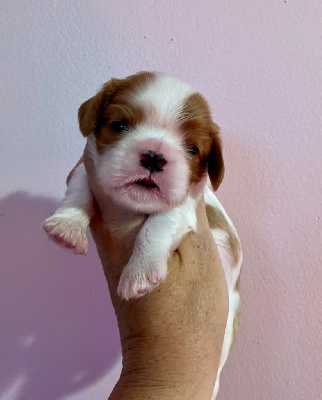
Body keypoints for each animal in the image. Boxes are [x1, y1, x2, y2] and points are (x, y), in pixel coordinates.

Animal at [42, 72, 242, 400]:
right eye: (120, 126)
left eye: (192, 149)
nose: (154, 156)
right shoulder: (89, 167)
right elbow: (81, 188)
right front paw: (67, 225)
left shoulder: (186, 204)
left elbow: (158, 224)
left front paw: (139, 272)